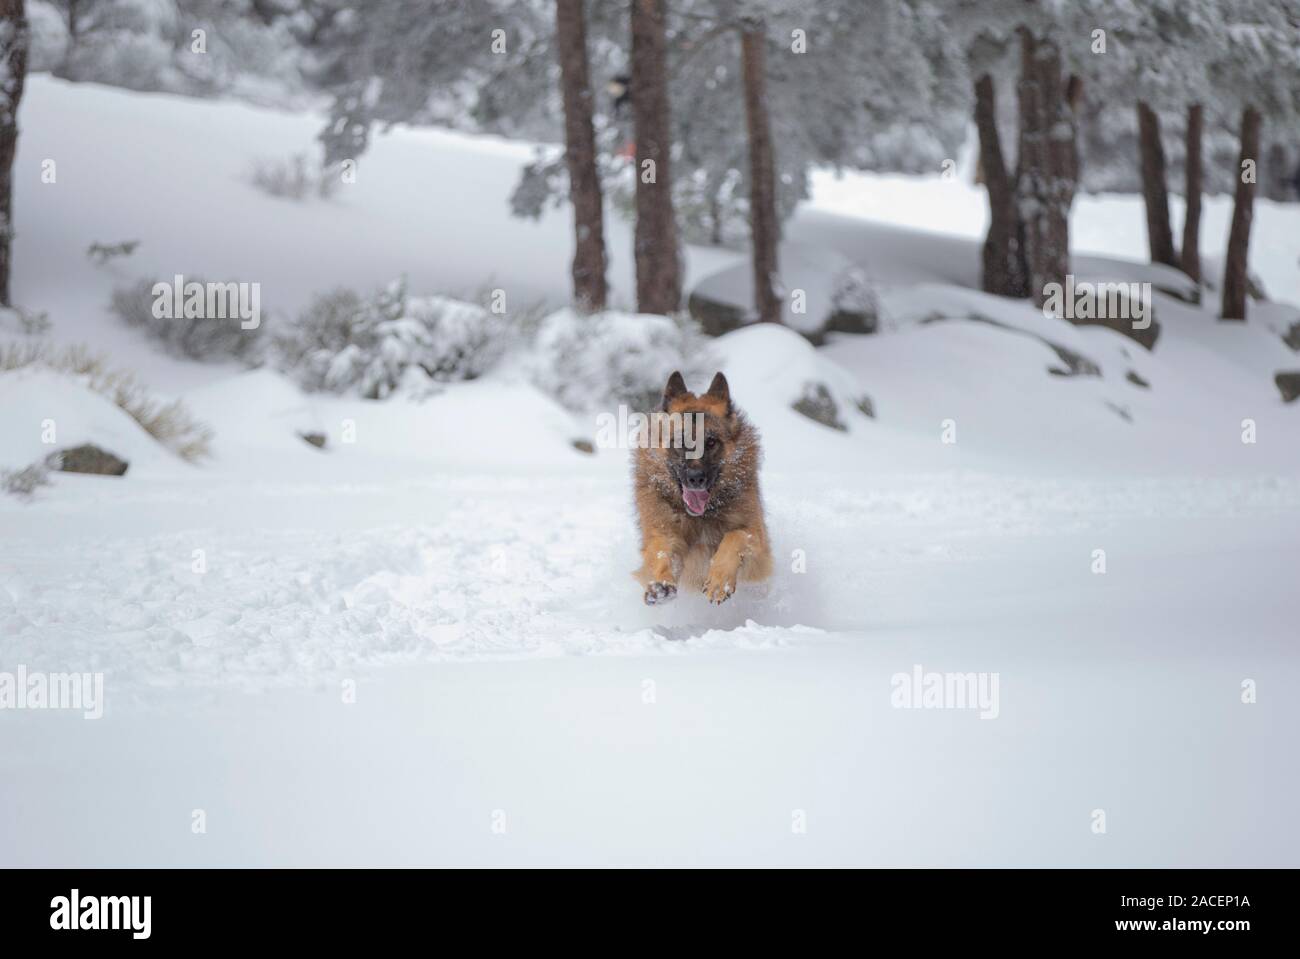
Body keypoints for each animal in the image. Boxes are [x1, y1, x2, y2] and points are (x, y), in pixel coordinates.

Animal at [631, 369, 764, 600]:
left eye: (710, 442)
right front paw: (662, 583)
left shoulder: (758, 547)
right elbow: (661, 552)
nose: (695, 478)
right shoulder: (662, 534)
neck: (700, 518)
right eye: (680, 442)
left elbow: (736, 536)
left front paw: (720, 580)